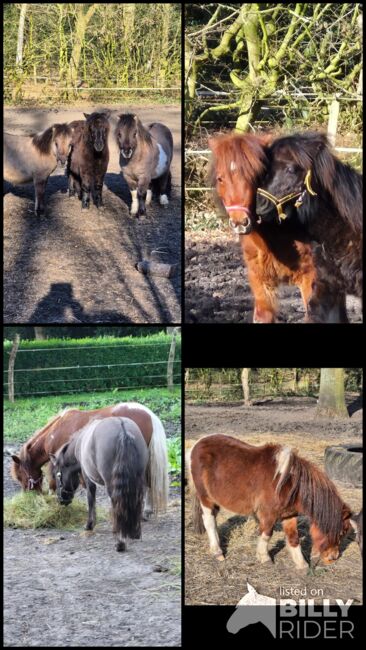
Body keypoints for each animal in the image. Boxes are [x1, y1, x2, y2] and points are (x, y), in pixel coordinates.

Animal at [49, 416, 147, 552]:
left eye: (57, 476)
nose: (61, 500)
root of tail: (123, 430)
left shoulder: (87, 478)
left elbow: (91, 499)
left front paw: (89, 524)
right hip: (138, 478)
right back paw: (135, 531)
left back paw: (120, 541)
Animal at [187, 436, 354, 568]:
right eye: (340, 532)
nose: (333, 558)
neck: (288, 484)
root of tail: (197, 444)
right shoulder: (268, 514)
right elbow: (267, 533)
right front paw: (264, 558)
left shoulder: (289, 515)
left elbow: (294, 538)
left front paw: (302, 565)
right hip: (205, 497)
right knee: (208, 520)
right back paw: (217, 552)